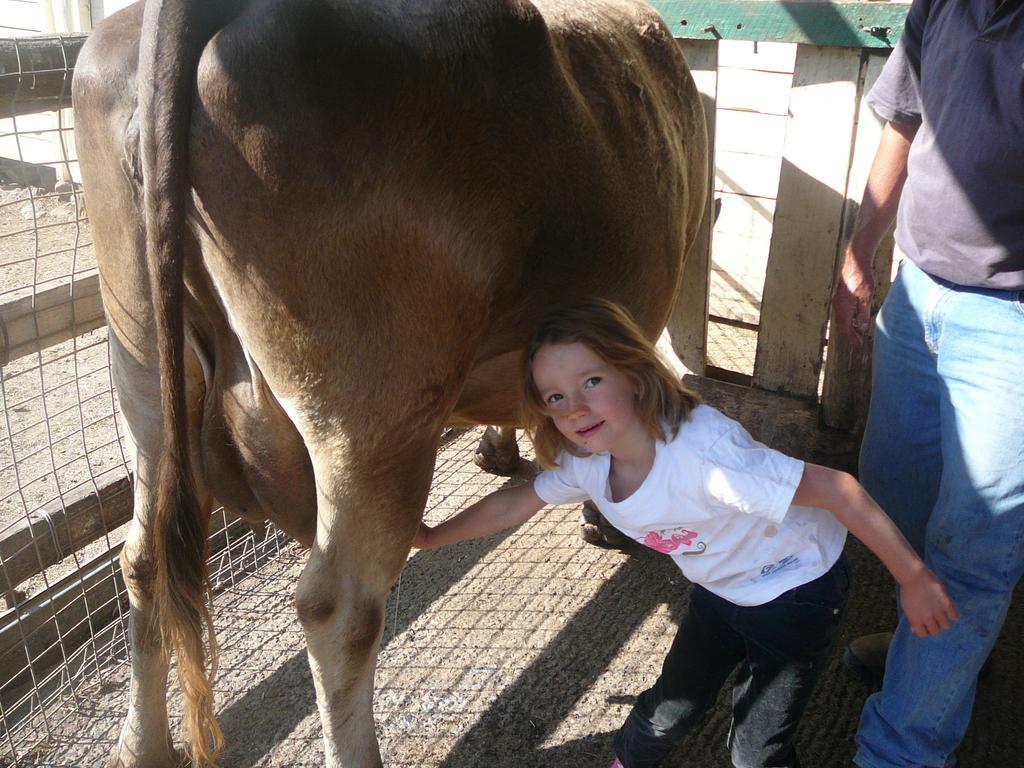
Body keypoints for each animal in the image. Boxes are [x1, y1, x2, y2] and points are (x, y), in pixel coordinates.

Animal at [74, 3, 704, 765]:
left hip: (139, 365)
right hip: (372, 415)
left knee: (144, 559)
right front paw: (601, 517)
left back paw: (141, 746)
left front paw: (503, 448)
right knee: (339, 607)